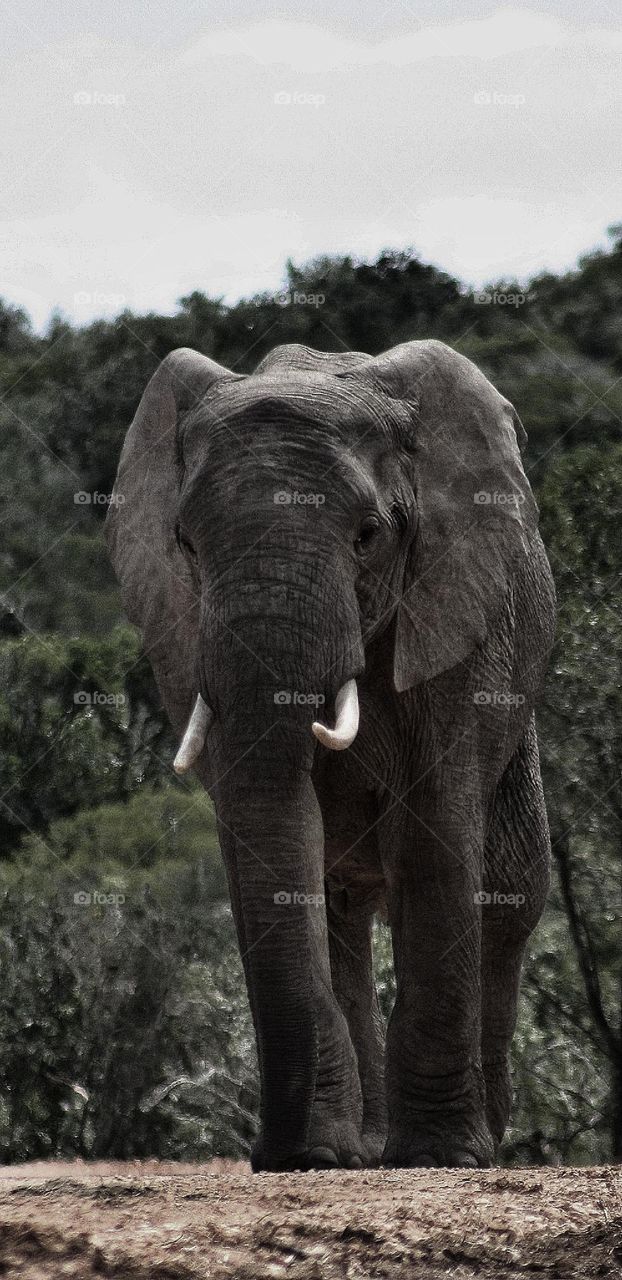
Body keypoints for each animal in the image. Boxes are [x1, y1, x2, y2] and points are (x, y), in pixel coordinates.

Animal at [106, 338, 555, 1172]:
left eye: (368, 535)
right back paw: (362, 1148)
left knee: (513, 889)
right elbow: (276, 848)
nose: (267, 1156)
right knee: (342, 907)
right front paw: (321, 1155)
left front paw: (439, 1157)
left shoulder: (451, 618)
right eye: (184, 543)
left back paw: (479, 1138)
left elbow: (432, 838)